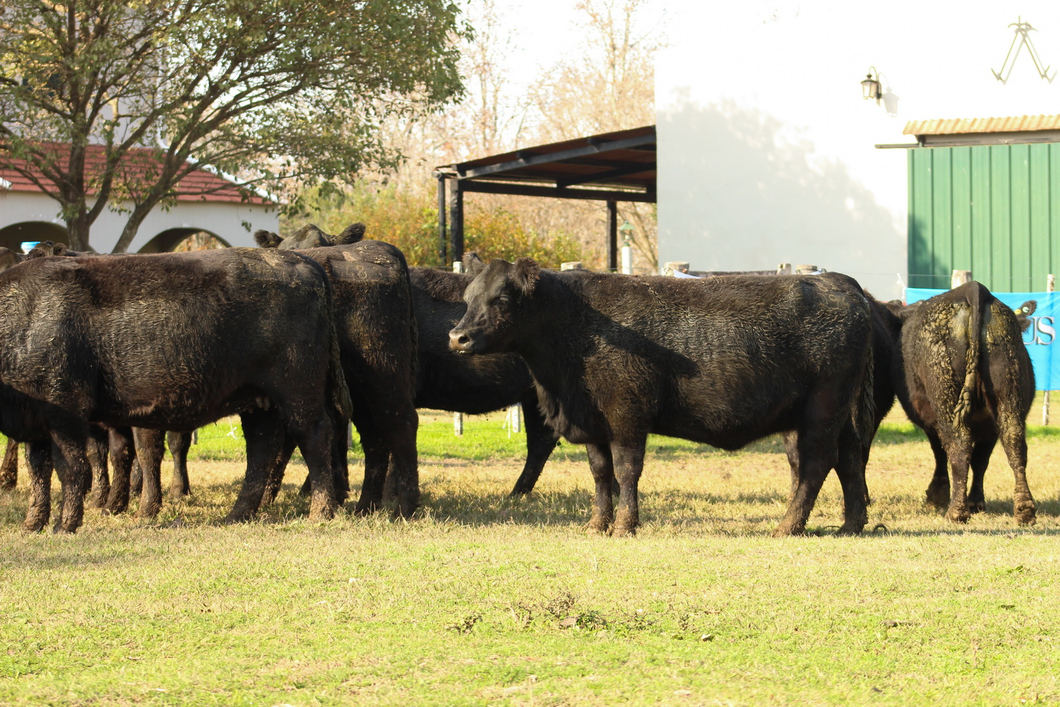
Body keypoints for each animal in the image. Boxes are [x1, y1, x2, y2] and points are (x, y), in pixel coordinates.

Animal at [0, 249, 354, 529]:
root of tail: (300, 261)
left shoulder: (66, 414)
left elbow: (71, 468)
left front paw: (65, 525)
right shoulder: (36, 425)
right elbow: (39, 471)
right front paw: (33, 523)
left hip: (297, 393)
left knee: (313, 435)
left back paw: (321, 511)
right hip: (258, 401)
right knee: (262, 448)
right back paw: (236, 515)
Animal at [451, 259, 873, 536]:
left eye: (502, 298)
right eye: (468, 298)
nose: (458, 337)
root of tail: (839, 282)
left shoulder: (626, 415)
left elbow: (626, 471)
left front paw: (625, 525)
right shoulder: (593, 422)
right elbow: (600, 473)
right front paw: (597, 524)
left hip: (822, 409)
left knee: (817, 463)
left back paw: (788, 525)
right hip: (837, 414)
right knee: (849, 461)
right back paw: (851, 525)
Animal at [886, 284, 1034, 525]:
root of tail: (974, 289)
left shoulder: (932, 420)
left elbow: (941, 453)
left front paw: (937, 495)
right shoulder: (988, 427)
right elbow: (981, 461)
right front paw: (976, 501)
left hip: (945, 397)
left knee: (958, 447)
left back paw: (956, 512)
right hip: (1009, 395)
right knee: (1015, 444)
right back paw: (1024, 510)